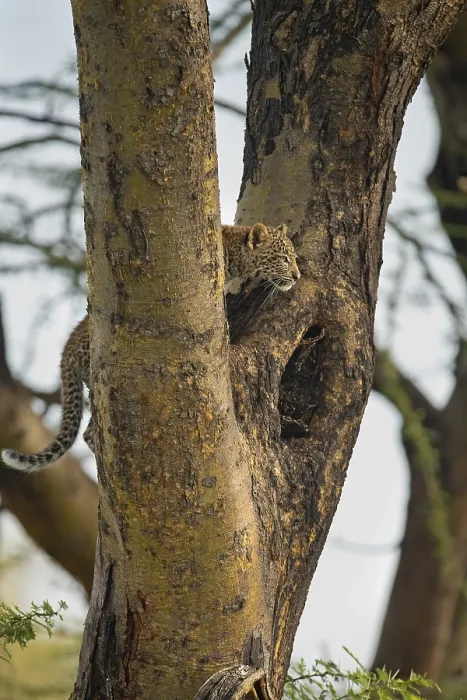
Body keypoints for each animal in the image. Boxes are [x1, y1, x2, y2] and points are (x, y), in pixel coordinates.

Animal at [1, 222, 300, 473]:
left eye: (294, 256)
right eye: (283, 258)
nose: (297, 276)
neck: (237, 257)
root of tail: (67, 352)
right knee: (89, 433)